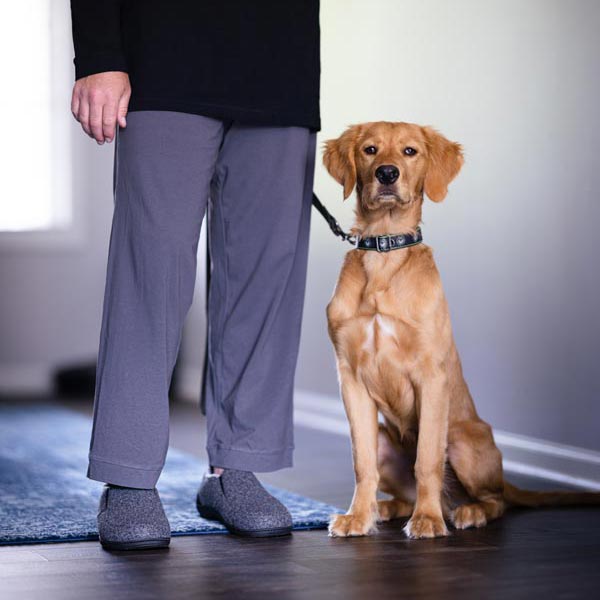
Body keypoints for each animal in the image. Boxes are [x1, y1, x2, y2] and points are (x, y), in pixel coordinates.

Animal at [324, 122, 600, 540]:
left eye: (409, 151)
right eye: (370, 150)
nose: (387, 174)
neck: (385, 255)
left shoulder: (431, 377)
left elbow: (426, 460)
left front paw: (427, 520)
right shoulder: (351, 379)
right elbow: (362, 461)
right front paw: (358, 517)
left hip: (462, 438)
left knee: (494, 500)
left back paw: (465, 511)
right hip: (388, 439)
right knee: (407, 490)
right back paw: (387, 508)